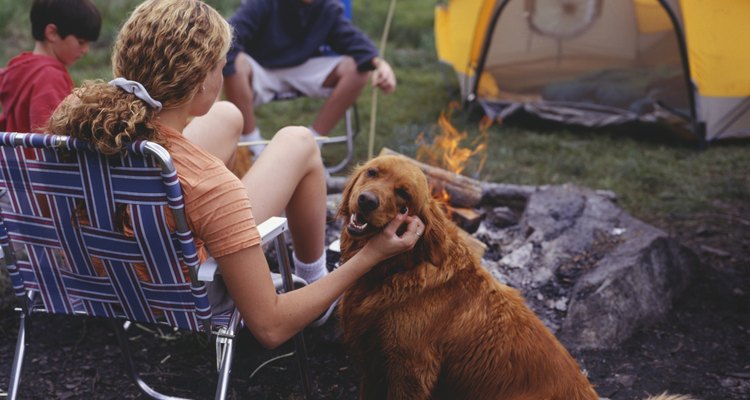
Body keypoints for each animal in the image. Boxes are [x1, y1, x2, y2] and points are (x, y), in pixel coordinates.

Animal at [338, 155, 696, 400]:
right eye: (372, 172)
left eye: (403, 194)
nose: (366, 200)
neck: (398, 269)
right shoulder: (372, 360)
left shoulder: (410, 370)